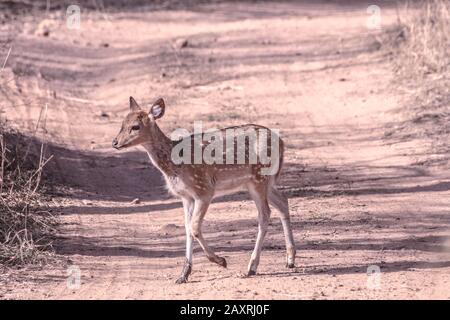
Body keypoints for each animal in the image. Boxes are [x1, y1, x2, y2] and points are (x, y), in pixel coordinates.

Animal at [112, 97, 296, 282]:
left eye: (135, 126)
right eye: (122, 123)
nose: (115, 142)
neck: (174, 165)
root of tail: (282, 143)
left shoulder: (204, 189)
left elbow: (194, 227)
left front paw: (220, 260)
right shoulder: (186, 196)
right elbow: (187, 228)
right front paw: (183, 274)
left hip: (259, 177)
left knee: (265, 213)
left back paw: (251, 267)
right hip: (261, 182)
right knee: (283, 201)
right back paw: (290, 260)